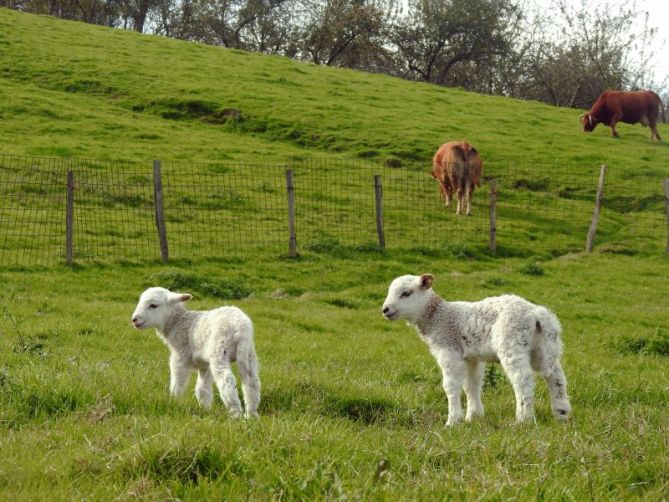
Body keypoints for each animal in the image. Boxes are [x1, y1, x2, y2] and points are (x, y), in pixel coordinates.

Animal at [130, 286, 258, 420]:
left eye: (153, 305)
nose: (134, 320)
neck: (178, 324)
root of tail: (240, 327)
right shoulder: (204, 365)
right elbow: (202, 388)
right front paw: (205, 409)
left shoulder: (180, 357)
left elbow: (177, 382)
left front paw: (174, 401)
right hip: (248, 352)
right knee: (251, 381)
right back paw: (252, 415)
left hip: (219, 350)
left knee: (227, 380)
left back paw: (236, 415)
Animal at [380, 274, 568, 424]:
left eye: (406, 293)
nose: (385, 309)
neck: (438, 317)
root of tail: (537, 313)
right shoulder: (471, 358)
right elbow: (472, 385)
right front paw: (474, 416)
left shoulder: (449, 351)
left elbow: (450, 386)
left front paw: (453, 420)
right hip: (544, 347)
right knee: (556, 377)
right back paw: (561, 414)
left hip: (512, 344)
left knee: (523, 379)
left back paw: (524, 419)